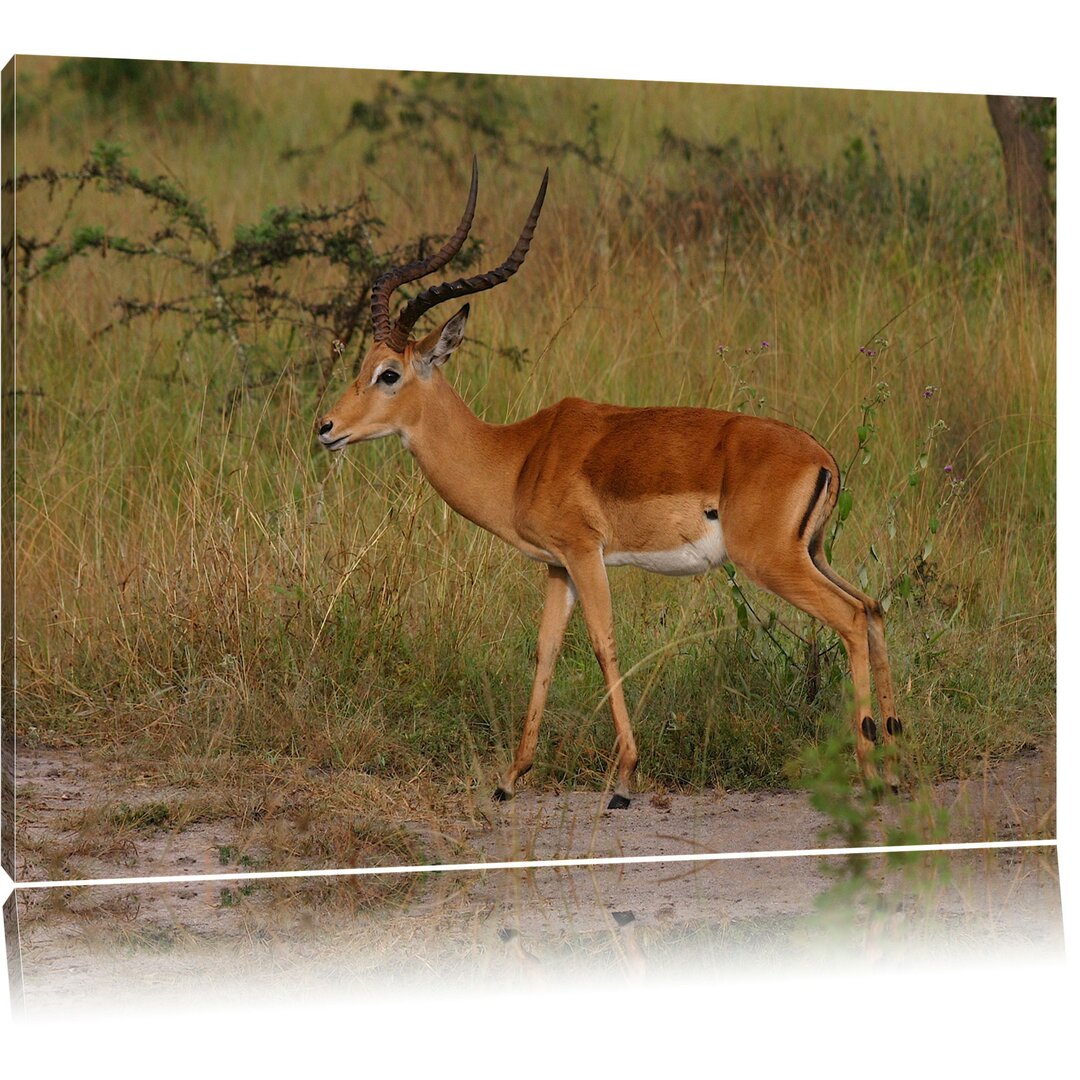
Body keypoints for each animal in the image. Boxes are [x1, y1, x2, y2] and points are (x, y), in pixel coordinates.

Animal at [315, 162, 902, 812]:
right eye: (362, 366)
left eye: (389, 373)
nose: (326, 428)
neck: (519, 457)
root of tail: (823, 457)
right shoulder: (556, 566)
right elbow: (545, 650)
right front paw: (510, 778)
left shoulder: (584, 553)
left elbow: (603, 643)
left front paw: (623, 780)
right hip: (813, 554)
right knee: (873, 608)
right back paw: (896, 765)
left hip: (772, 561)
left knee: (850, 618)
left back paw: (871, 773)